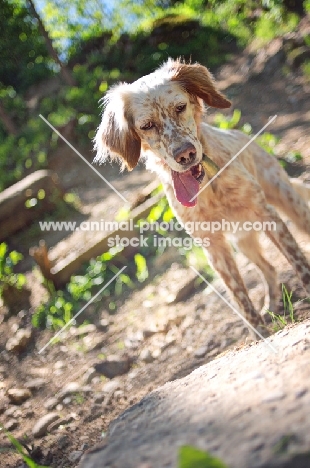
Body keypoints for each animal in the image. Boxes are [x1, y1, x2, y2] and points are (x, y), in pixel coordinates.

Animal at [94, 58, 310, 338]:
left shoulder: (268, 215)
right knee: (269, 268)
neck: (206, 184)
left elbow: (298, 261)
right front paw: (259, 333)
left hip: (290, 205)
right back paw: (272, 306)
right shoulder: (213, 246)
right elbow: (240, 296)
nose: (185, 154)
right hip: (243, 239)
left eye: (180, 107)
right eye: (146, 126)